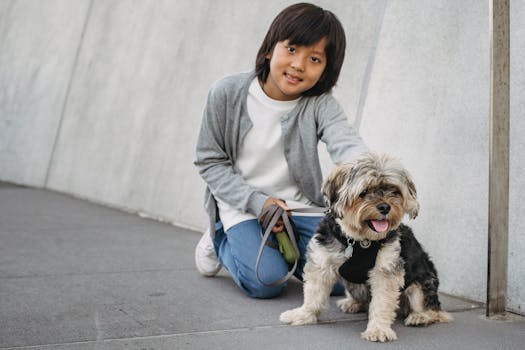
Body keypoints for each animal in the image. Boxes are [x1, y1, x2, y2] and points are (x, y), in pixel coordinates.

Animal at [280, 153, 452, 342]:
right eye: (363, 192)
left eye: (394, 191)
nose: (385, 207)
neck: (360, 241)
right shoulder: (322, 260)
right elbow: (314, 294)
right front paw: (302, 314)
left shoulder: (386, 270)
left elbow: (382, 303)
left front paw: (378, 329)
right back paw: (352, 303)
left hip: (423, 282)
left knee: (432, 309)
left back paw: (420, 316)